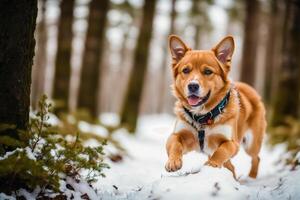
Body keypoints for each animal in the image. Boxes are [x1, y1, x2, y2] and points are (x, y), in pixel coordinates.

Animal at [165, 35, 266, 179]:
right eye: (185, 70)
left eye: (208, 71)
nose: (193, 85)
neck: (203, 116)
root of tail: (248, 89)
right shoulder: (177, 134)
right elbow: (175, 145)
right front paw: (173, 161)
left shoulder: (231, 143)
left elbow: (221, 151)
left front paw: (211, 165)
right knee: (232, 166)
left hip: (251, 144)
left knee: (256, 158)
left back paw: (251, 176)